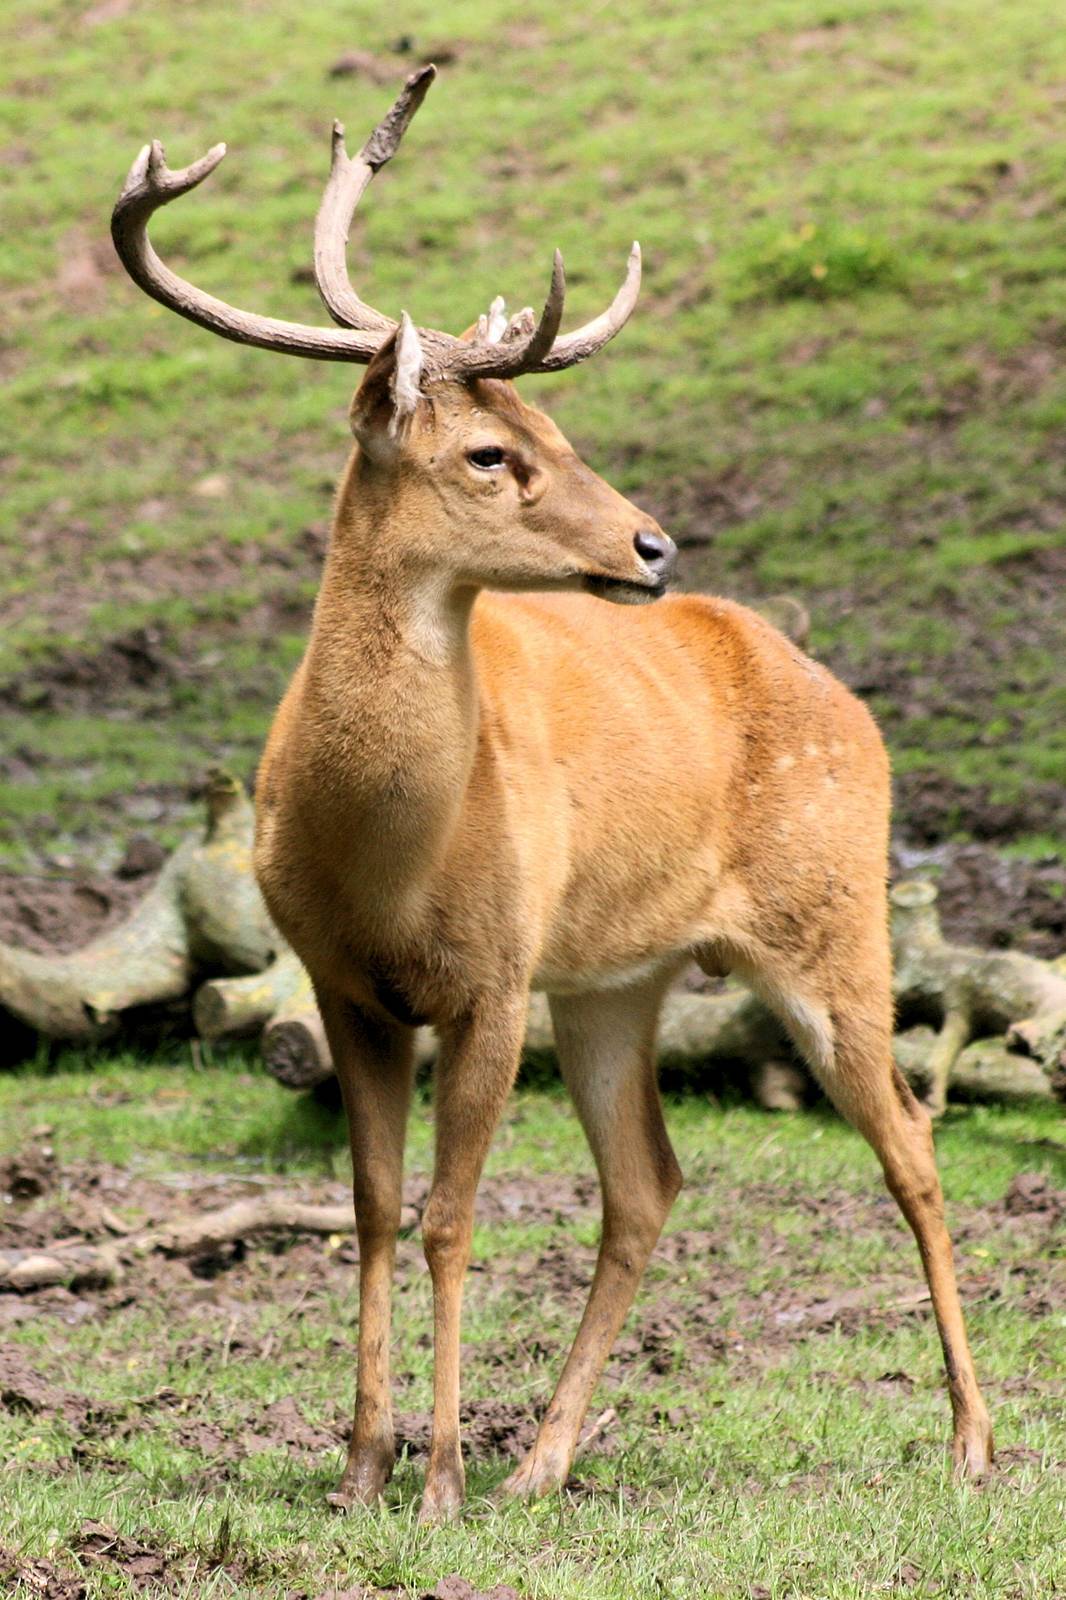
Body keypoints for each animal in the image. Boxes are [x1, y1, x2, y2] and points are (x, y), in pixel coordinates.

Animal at [111, 66, 992, 1521]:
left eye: (557, 430)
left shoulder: (491, 971)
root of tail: (841, 696)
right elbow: (373, 1207)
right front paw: (362, 1469)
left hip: (830, 917)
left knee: (912, 1145)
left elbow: (453, 1216)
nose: (650, 542)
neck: (387, 855)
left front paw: (434, 1484)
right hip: (612, 979)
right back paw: (545, 1458)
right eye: (487, 452)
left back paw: (974, 1440)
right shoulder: (344, 983)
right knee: (646, 1182)